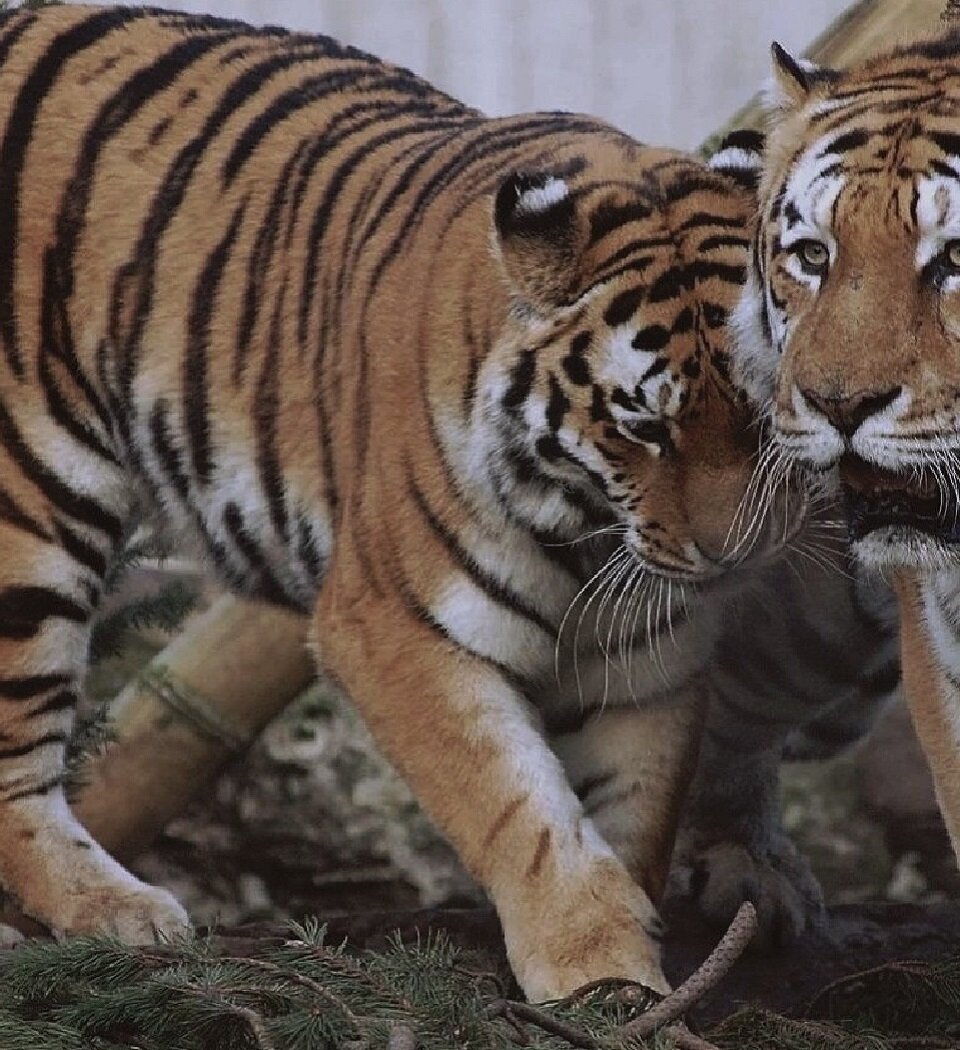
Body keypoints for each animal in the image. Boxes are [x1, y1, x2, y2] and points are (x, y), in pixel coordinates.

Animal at [0, 2, 899, 999]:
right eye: (643, 425)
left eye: (761, 409)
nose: (733, 556)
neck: (588, 525)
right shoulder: (395, 627)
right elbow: (524, 815)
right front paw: (593, 966)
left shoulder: (648, 654)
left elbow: (632, 813)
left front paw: (628, 982)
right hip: (31, 509)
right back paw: (116, 910)